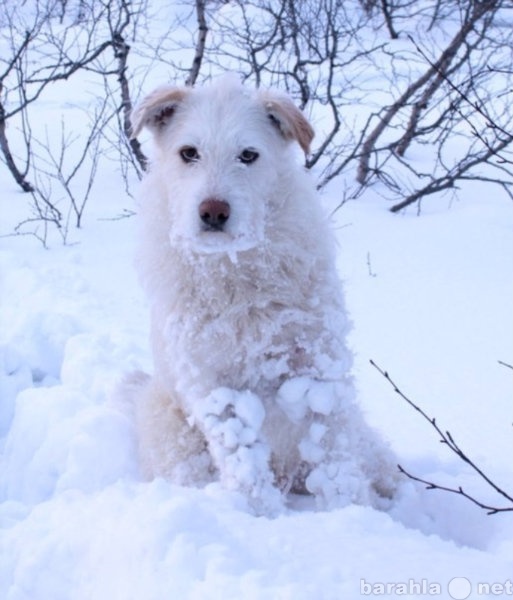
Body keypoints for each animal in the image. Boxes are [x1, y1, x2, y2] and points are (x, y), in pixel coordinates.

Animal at [129, 76, 400, 516]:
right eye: (188, 153)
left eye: (248, 155)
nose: (214, 212)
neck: (237, 274)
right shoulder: (213, 385)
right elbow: (242, 459)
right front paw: (260, 515)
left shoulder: (317, 367)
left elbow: (336, 458)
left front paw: (350, 514)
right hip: (172, 435)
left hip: (371, 448)